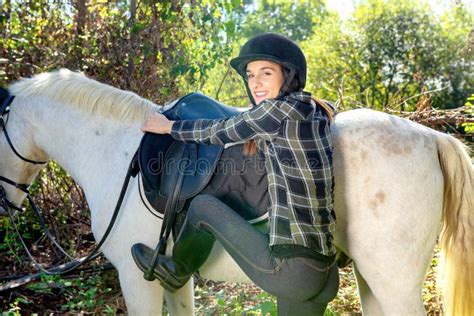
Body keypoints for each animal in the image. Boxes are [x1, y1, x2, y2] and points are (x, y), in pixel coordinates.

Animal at [0, 69, 470, 316]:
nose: (6, 206)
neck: (117, 151)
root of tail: (431, 137)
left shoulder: (137, 280)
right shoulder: (173, 279)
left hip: (393, 283)